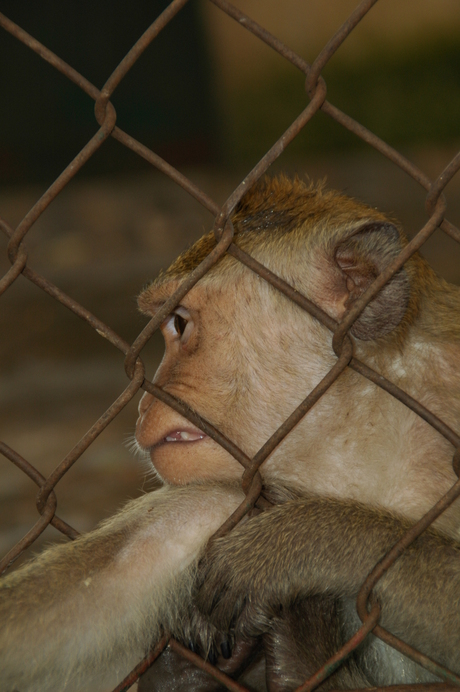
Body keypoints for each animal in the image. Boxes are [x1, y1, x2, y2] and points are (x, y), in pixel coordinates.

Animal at [0, 176, 460, 688]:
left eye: (179, 324)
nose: (143, 402)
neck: (363, 445)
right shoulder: (226, 498)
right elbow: (101, 581)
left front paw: (308, 540)